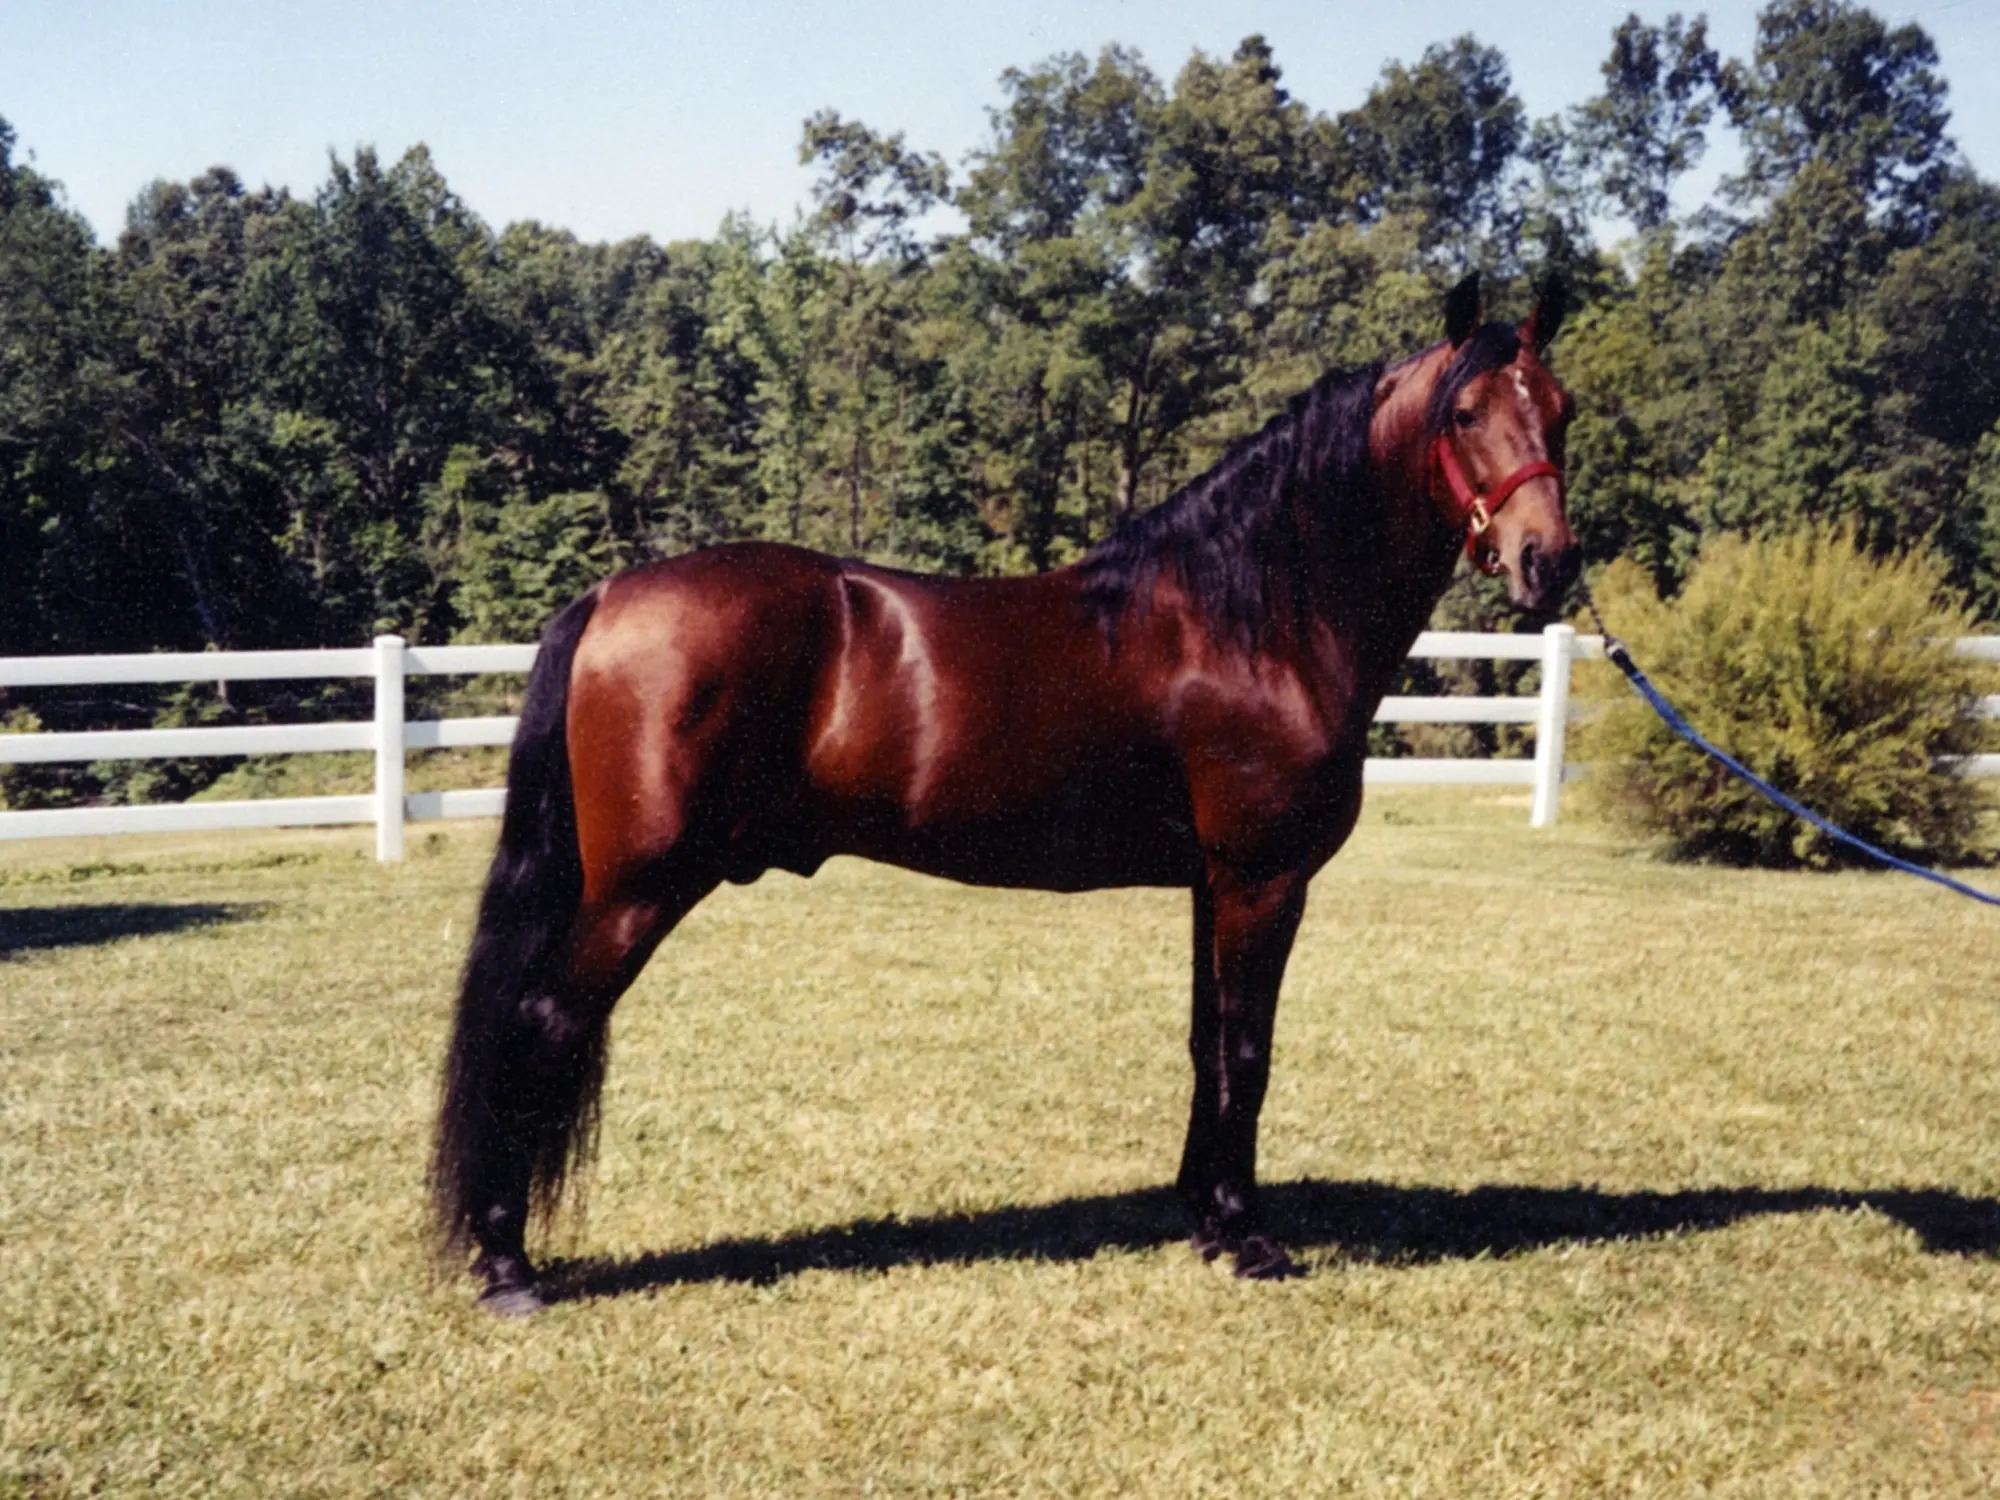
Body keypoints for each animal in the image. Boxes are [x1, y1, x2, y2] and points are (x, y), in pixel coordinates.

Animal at [434, 270, 1576, 1312]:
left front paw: (1204, 1222)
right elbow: (1248, 1051)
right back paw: (507, 1269)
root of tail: (608, 594)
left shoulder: (1211, 885)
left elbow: (1206, 1044)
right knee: (537, 1027)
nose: (1547, 562)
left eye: (1559, 408)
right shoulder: (1263, 881)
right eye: (1464, 413)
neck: (1252, 615)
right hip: (637, 891)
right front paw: (1249, 1241)